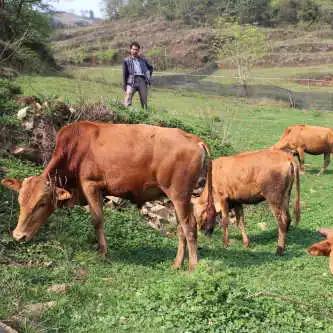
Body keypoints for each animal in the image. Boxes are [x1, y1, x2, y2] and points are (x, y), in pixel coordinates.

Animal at [1, 120, 215, 268]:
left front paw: (103, 253)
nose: (18, 236)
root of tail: (193, 139)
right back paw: (177, 264)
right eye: (20, 202)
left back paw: (193, 267)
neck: (76, 148)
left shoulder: (91, 185)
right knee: (180, 228)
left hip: (180, 195)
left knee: (189, 226)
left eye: (42, 203)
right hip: (177, 197)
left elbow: (97, 220)